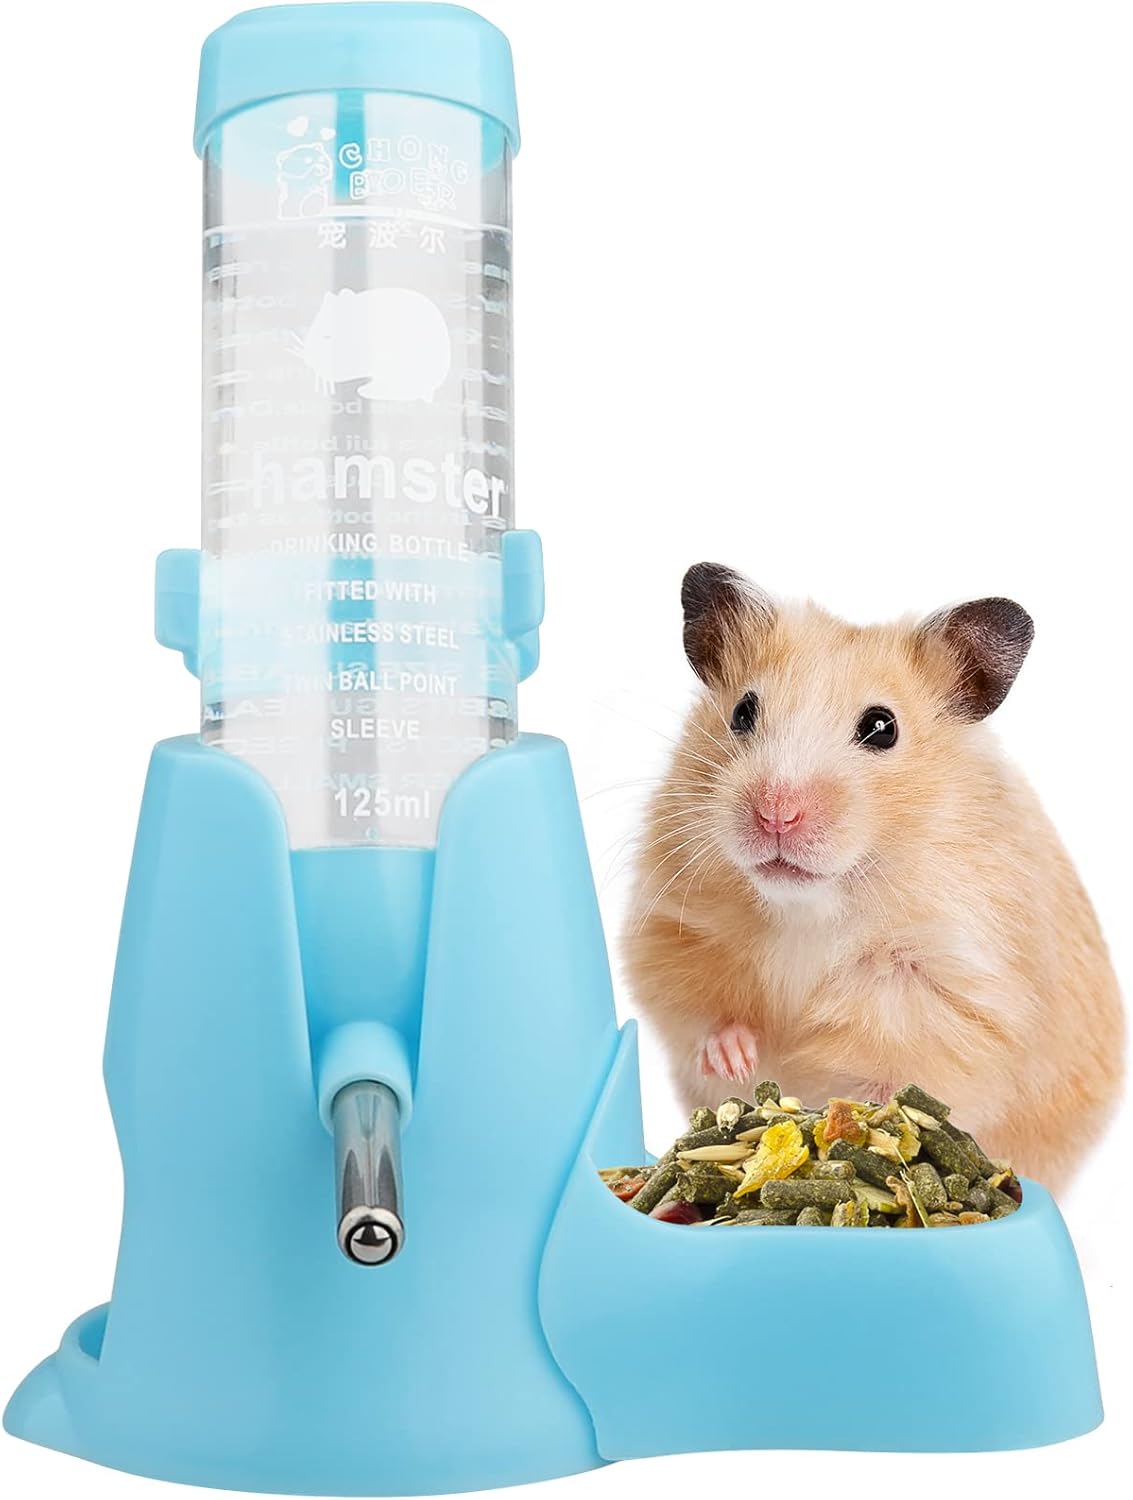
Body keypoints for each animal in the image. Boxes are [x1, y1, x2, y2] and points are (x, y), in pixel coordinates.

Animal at [623, 564, 1124, 1190]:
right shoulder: (673, 926)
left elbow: (906, 1065)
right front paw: (736, 1058)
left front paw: (865, 1114)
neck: (812, 904)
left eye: (882, 727)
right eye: (742, 712)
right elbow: (698, 1010)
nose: (776, 814)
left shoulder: (952, 989)